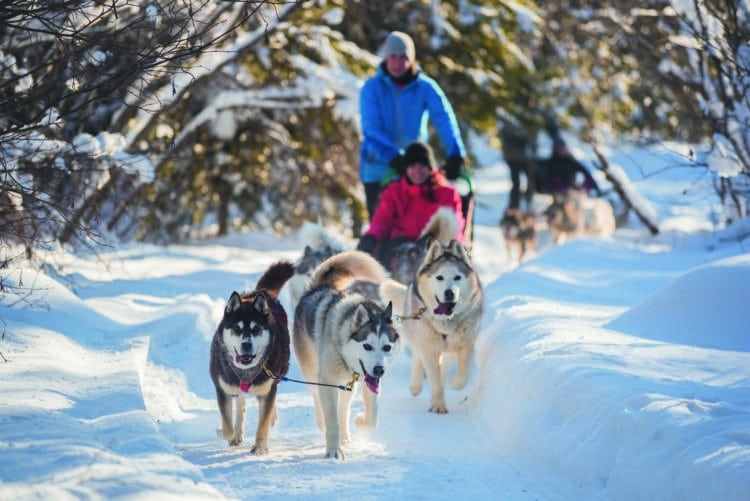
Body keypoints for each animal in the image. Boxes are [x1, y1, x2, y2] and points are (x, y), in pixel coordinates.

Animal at [212, 262, 296, 454]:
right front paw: (224, 431)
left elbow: (263, 423)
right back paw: (237, 432)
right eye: (236, 328)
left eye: (257, 328)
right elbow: (227, 427)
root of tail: (263, 292)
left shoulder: (267, 389)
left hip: (279, 373)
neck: (246, 372)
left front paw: (260, 448)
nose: (246, 345)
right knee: (240, 401)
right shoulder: (223, 389)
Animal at [294, 250, 402, 458]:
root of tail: (319, 287)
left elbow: (372, 416)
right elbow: (331, 418)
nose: (379, 370)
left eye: (386, 347)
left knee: (343, 409)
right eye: (367, 346)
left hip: (348, 386)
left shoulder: (369, 381)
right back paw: (324, 424)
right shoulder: (327, 381)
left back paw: (345, 435)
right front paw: (333, 450)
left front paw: (360, 421)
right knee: (318, 399)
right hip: (312, 371)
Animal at [378, 238, 484, 414]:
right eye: (439, 277)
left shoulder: (466, 345)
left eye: (457, 277)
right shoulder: (429, 347)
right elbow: (434, 379)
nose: (449, 293)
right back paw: (415, 386)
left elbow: (462, 377)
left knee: (445, 364)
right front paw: (438, 405)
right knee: (418, 356)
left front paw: (454, 383)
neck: (446, 321)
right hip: (417, 336)